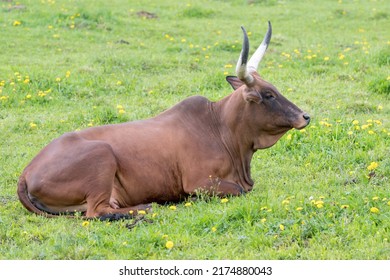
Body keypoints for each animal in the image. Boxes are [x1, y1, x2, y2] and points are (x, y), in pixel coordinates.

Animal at [17, 21, 310, 220]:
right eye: (268, 94)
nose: (305, 116)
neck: (220, 128)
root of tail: (27, 172)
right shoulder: (200, 184)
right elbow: (241, 190)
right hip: (101, 157)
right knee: (97, 212)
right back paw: (146, 207)